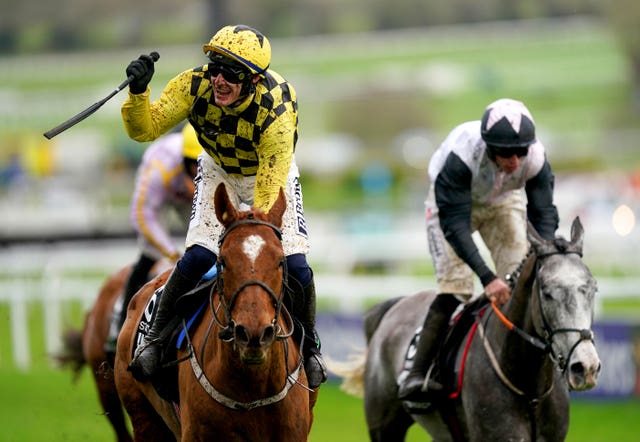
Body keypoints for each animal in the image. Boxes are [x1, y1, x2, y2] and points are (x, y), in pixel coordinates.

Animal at [330, 218, 600, 442]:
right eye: (547, 292)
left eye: (593, 288)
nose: (586, 367)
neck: (528, 388)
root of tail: (395, 306)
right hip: (385, 427)